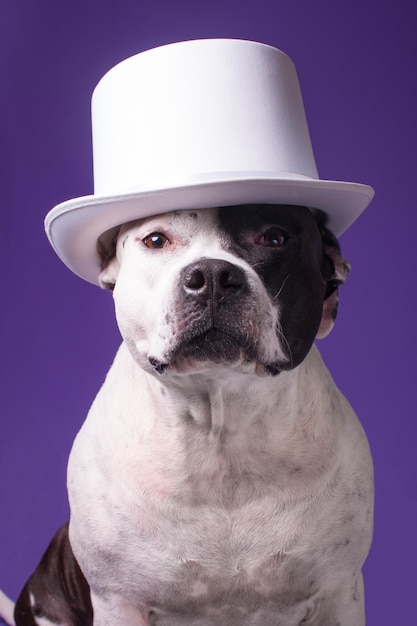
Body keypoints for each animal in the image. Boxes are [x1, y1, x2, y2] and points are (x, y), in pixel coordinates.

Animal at [4, 202, 374, 620]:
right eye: (155, 240)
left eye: (274, 237)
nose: (211, 276)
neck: (219, 431)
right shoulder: (119, 601)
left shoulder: (338, 594)